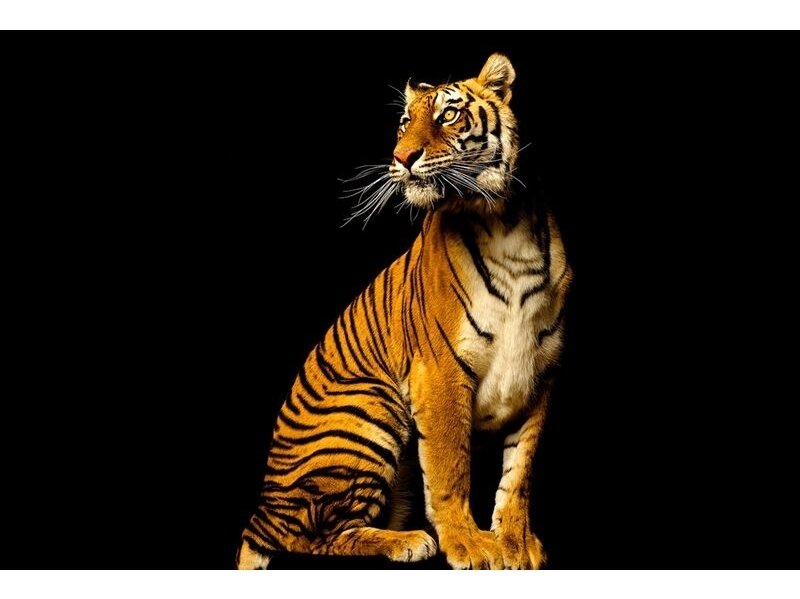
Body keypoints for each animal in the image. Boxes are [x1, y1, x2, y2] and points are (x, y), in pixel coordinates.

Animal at [237, 53, 572, 570]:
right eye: (403, 122)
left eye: (448, 115)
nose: (401, 158)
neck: (504, 221)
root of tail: (265, 506)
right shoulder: (440, 371)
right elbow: (450, 468)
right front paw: (471, 545)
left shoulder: (539, 373)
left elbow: (519, 472)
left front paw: (515, 543)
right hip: (372, 406)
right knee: (309, 537)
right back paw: (407, 541)